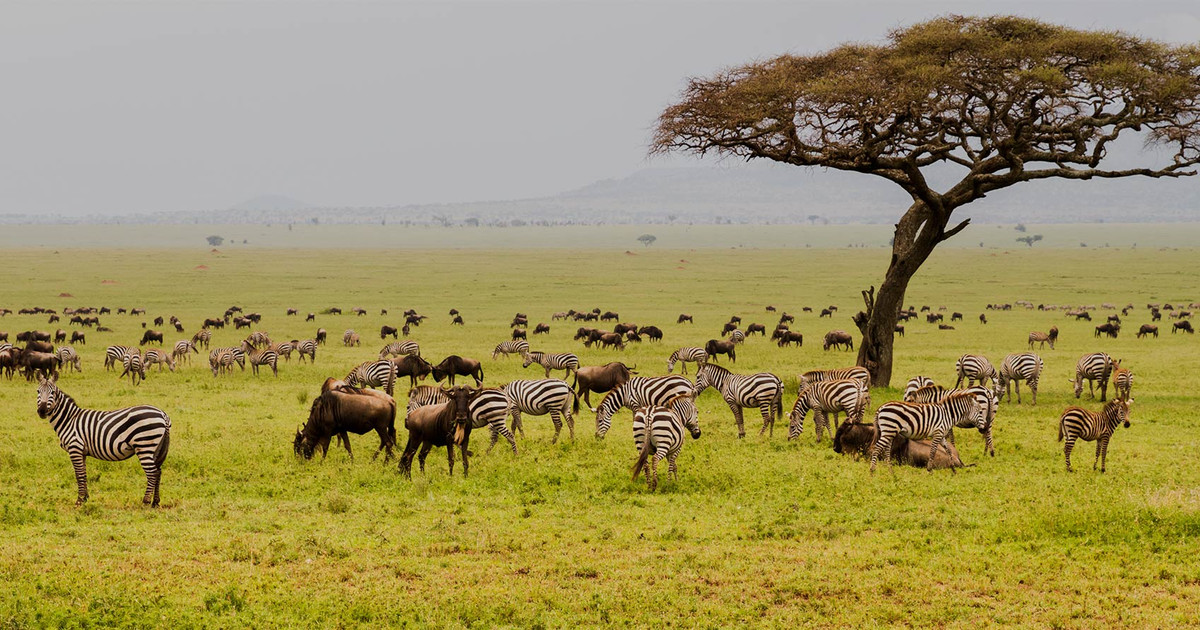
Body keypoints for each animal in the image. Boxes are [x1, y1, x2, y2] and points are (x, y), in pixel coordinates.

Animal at [34, 374, 170, 506]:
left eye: (52, 393)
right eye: (38, 391)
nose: (41, 411)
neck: (69, 419)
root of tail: (162, 414)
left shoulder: (75, 448)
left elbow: (78, 475)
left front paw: (79, 501)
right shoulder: (82, 452)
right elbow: (84, 474)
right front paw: (85, 498)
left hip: (144, 445)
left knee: (152, 473)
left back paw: (146, 502)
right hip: (156, 448)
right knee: (158, 471)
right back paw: (155, 502)